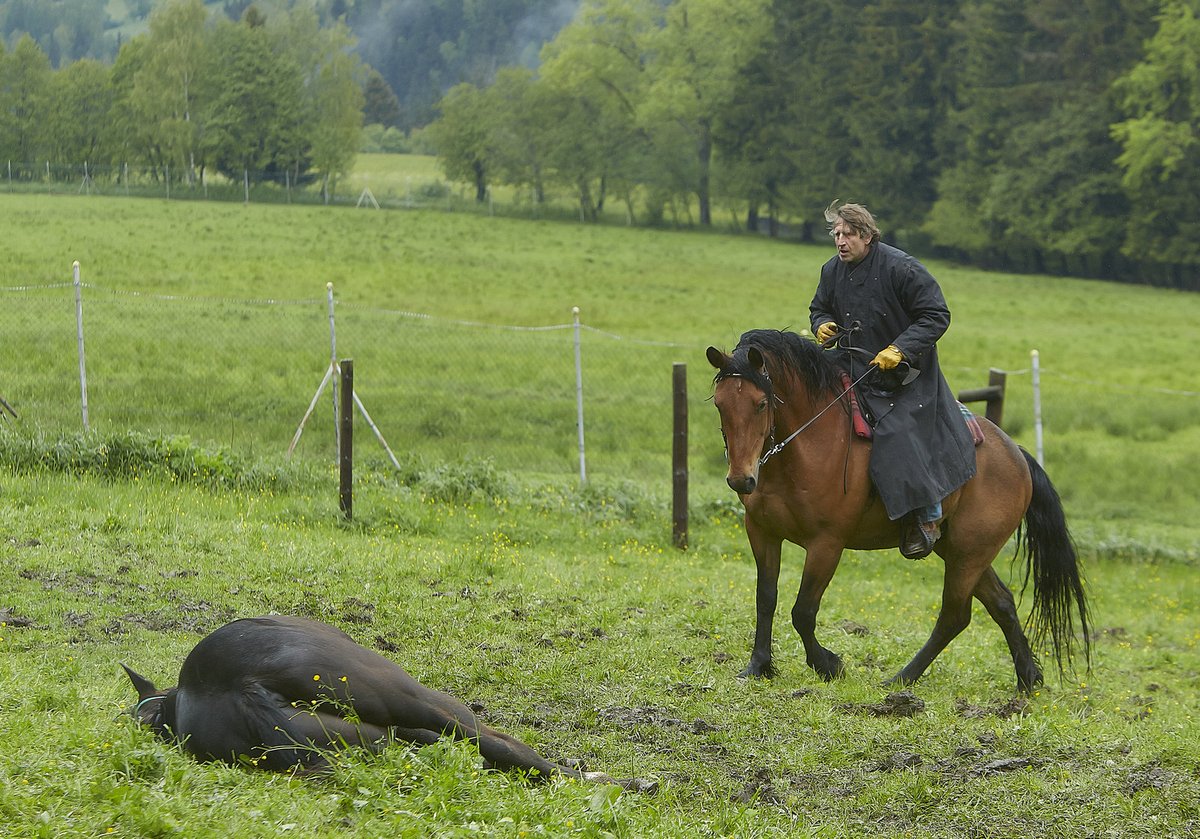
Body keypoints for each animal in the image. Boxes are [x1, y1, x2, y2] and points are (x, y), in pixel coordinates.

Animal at [705, 331, 1094, 691]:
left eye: (760, 404)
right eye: (720, 405)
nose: (741, 479)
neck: (805, 448)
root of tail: (1018, 455)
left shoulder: (827, 544)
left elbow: (803, 611)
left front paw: (828, 665)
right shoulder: (762, 532)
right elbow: (766, 598)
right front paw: (758, 666)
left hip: (970, 554)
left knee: (954, 615)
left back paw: (901, 679)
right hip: (961, 551)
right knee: (1002, 603)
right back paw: (1028, 678)